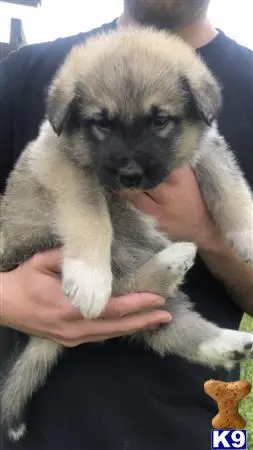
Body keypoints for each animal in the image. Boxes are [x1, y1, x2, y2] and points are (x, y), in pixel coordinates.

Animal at [0, 26, 253, 442]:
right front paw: (89, 277)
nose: (131, 174)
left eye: (159, 120)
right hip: (99, 244)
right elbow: (89, 212)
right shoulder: (64, 165)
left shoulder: (206, 149)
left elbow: (228, 181)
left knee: (164, 324)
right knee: (127, 287)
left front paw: (247, 233)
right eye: (101, 124)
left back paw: (229, 342)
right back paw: (169, 262)